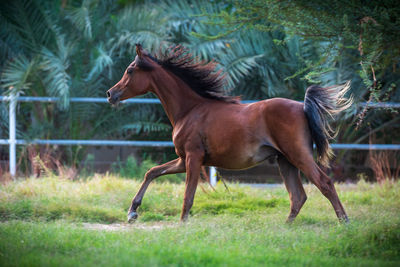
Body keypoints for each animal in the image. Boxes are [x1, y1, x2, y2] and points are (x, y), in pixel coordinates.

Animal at [108, 44, 352, 224]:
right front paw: (132, 212)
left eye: (130, 70)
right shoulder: (183, 159)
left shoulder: (193, 157)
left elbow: (188, 195)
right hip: (285, 161)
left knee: (324, 183)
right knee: (298, 196)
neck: (190, 110)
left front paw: (182, 225)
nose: (110, 94)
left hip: (298, 155)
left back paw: (345, 223)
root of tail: (302, 107)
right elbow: (152, 172)